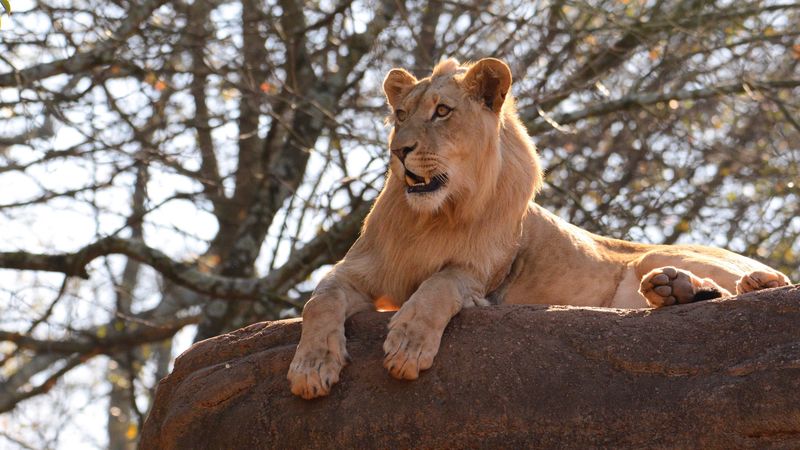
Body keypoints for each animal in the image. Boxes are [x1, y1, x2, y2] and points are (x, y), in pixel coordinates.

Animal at [287, 57, 792, 399]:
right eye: (400, 115)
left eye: (442, 111)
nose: (399, 150)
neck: (433, 216)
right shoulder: (359, 269)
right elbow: (320, 299)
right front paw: (312, 367)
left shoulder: (481, 278)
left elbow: (439, 284)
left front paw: (409, 345)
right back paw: (676, 292)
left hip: (658, 252)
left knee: (775, 282)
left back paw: (743, 281)